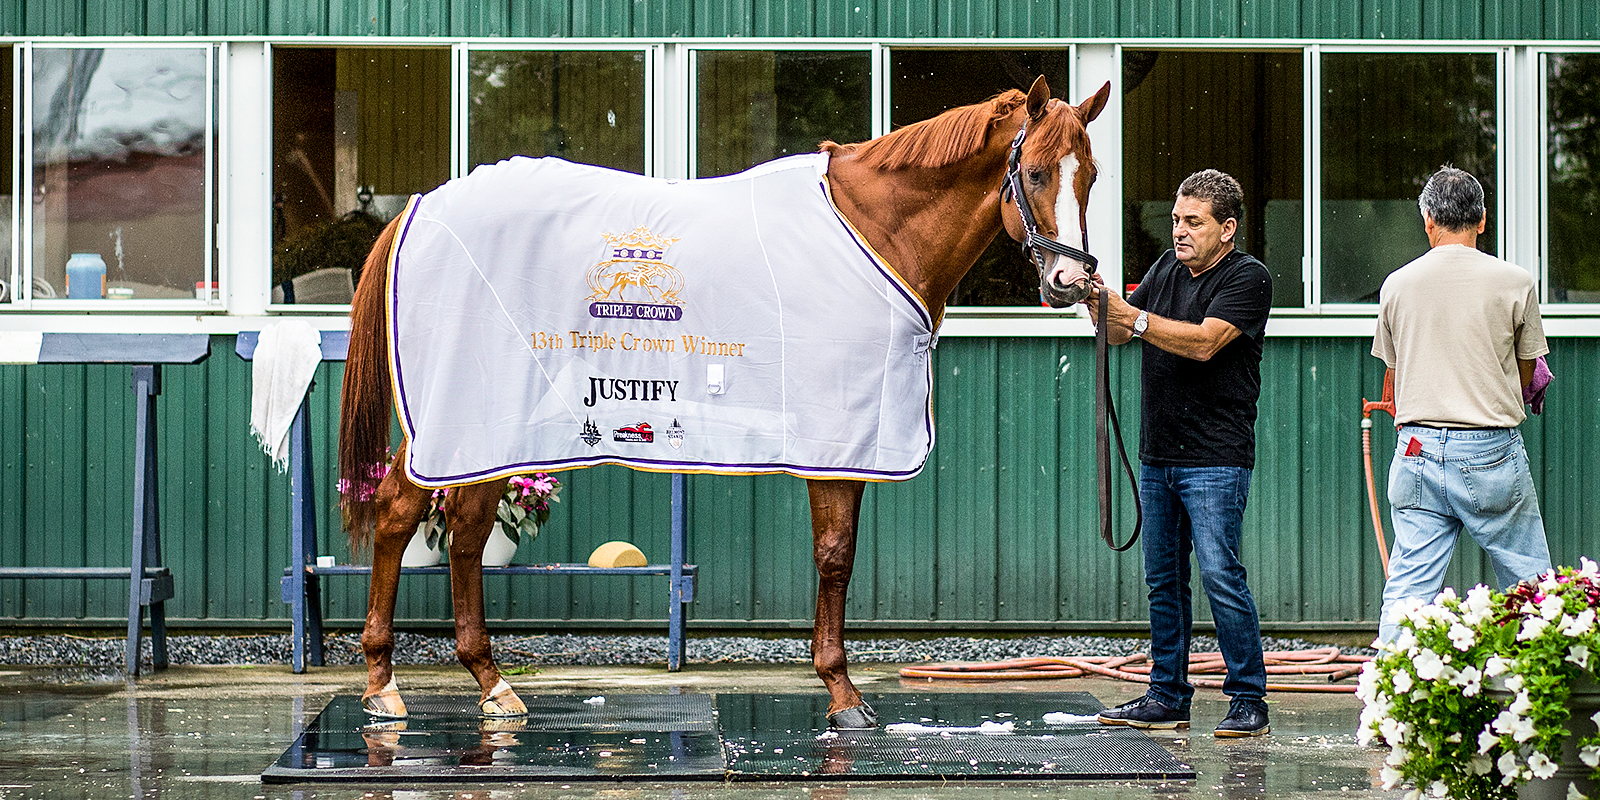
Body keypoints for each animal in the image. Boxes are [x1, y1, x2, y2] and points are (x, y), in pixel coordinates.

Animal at [337, 76, 1113, 732]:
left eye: (1091, 175)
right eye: (1034, 172)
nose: (1072, 281)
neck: (878, 229)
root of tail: (419, 210)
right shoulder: (836, 442)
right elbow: (836, 556)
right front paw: (843, 694)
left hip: (491, 425)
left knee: (460, 531)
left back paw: (486, 682)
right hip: (459, 415)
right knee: (405, 514)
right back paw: (384, 686)